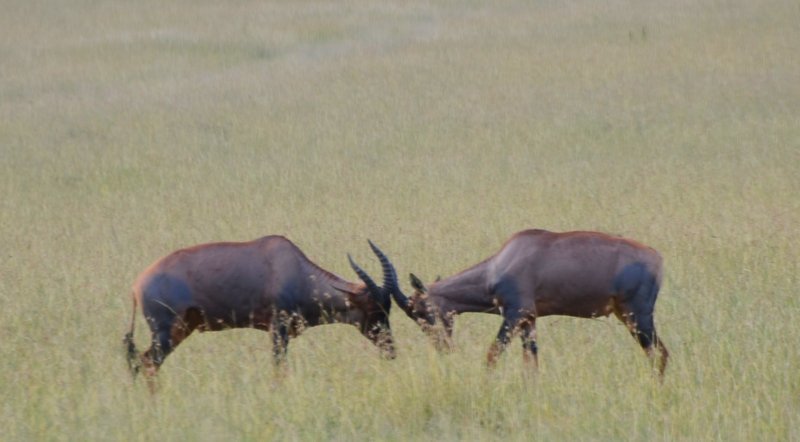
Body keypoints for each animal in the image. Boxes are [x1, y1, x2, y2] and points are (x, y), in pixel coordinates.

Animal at [124, 237, 400, 386]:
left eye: (388, 309)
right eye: (374, 310)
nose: (391, 352)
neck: (293, 268)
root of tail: (137, 285)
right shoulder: (277, 329)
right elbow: (279, 366)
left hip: (181, 330)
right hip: (164, 332)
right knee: (146, 362)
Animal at [390, 230, 668, 378]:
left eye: (419, 311)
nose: (443, 348)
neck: (502, 263)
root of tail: (656, 257)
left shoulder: (514, 315)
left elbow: (492, 354)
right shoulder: (529, 320)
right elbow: (531, 363)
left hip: (638, 316)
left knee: (660, 354)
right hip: (626, 316)